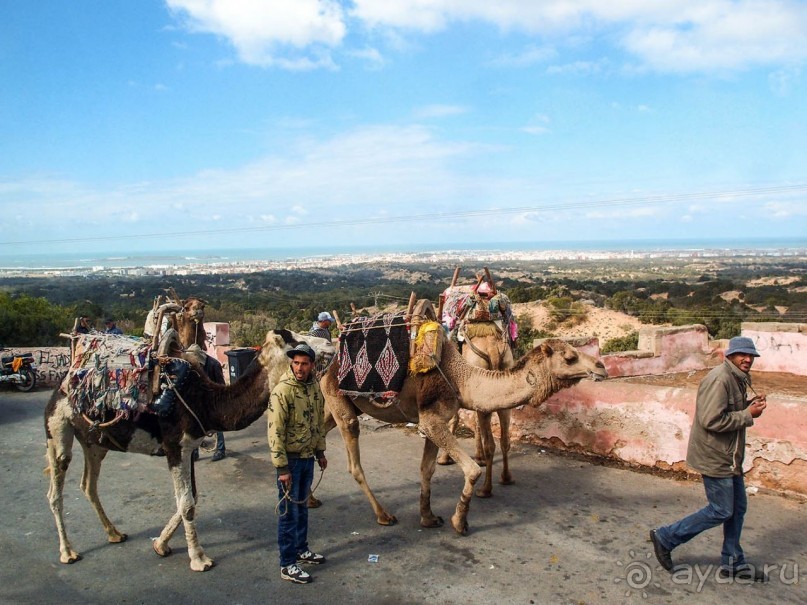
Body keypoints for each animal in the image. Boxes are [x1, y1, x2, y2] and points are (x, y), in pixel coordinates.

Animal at [45, 330, 334, 572]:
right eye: (295, 342)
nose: (330, 346)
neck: (205, 401)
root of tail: (63, 383)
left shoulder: (189, 446)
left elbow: (192, 496)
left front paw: (160, 545)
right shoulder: (175, 447)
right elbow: (187, 504)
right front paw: (199, 558)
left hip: (94, 442)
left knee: (88, 484)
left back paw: (114, 533)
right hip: (57, 427)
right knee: (56, 488)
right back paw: (68, 552)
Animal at [316, 304, 608, 536]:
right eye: (570, 357)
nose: (601, 367)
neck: (460, 379)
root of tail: (329, 363)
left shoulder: (433, 421)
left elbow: (426, 470)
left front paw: (428, 517)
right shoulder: (432, 421)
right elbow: (472, 470)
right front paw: (459, 521)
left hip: (337, 404)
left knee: (319, 433)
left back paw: (310, 500)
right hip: (340, 402)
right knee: (353, 460)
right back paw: (383, 515)